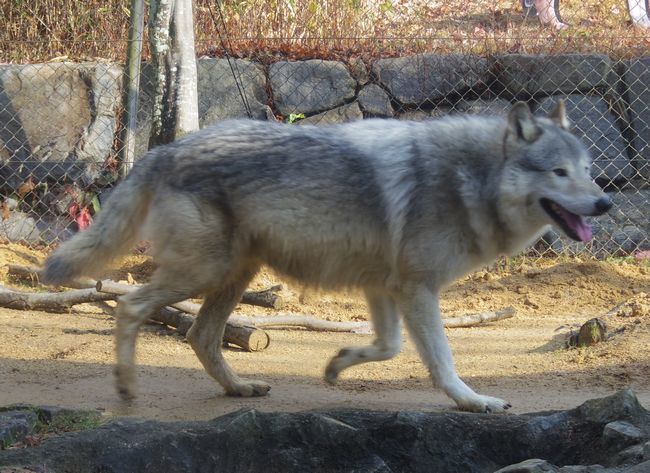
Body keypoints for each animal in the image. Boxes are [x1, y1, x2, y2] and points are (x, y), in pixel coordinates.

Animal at [40, 100, 608, 412]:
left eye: (586, 169)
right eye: (558, 173)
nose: (605, 202)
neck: (471, 179)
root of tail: (164, 148)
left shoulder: (385, 287)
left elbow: (389, 347)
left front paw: (338, 366)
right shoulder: (416, 288)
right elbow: (441, 362)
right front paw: (474, 402)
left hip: (235, 274)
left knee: (201, 335)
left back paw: (239, 389)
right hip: (203, 271)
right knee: (131, 306)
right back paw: (127, 388)